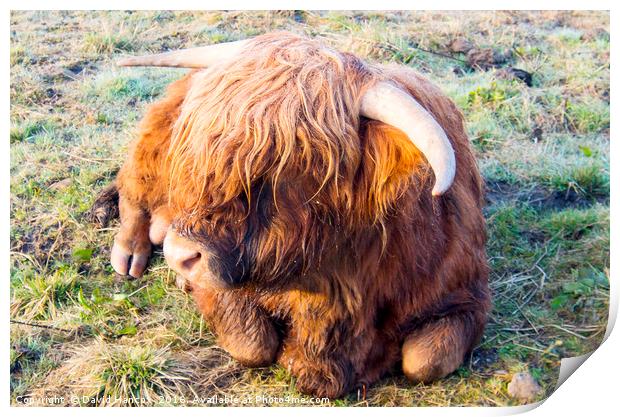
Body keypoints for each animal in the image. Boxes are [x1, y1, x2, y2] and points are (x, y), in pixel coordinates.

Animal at [105, 32, 490, 396]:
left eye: (293, 164)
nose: (180, 255)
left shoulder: (467, 295)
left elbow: (425, 360)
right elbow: (253, 344)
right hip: (153, 143)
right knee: (133, 186)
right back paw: (131, 252)